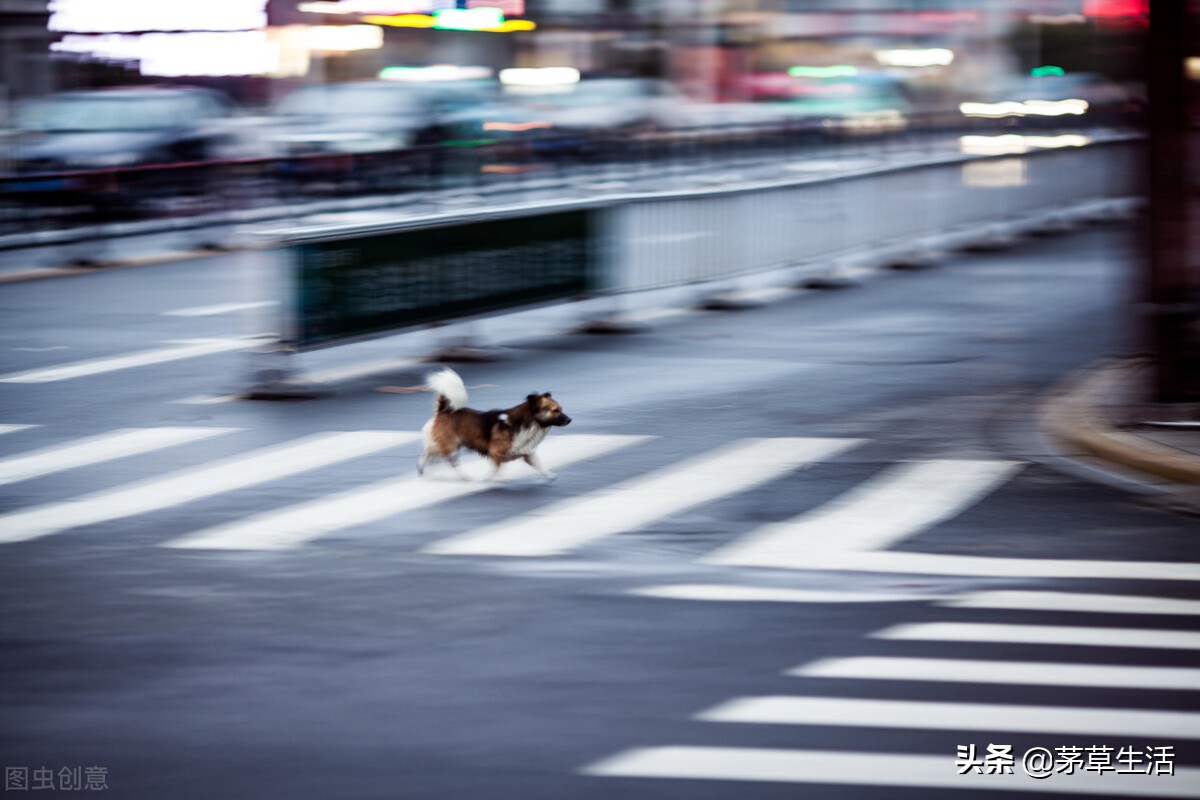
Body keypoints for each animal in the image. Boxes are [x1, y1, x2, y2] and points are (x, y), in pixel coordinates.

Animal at [417, 371, 571, 482]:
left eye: (561, 409)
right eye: (555, 411)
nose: (570, 420)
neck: (529, 423)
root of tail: (444, 411)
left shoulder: (528, 454)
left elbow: (540, 466)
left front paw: (550, 475)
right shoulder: (495, 453)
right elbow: (494, 470)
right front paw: (488, 479)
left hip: (449, 445)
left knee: (430, 452)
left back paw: (422, 468)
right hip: (451, 446)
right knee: (450, 461)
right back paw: (465, 477)